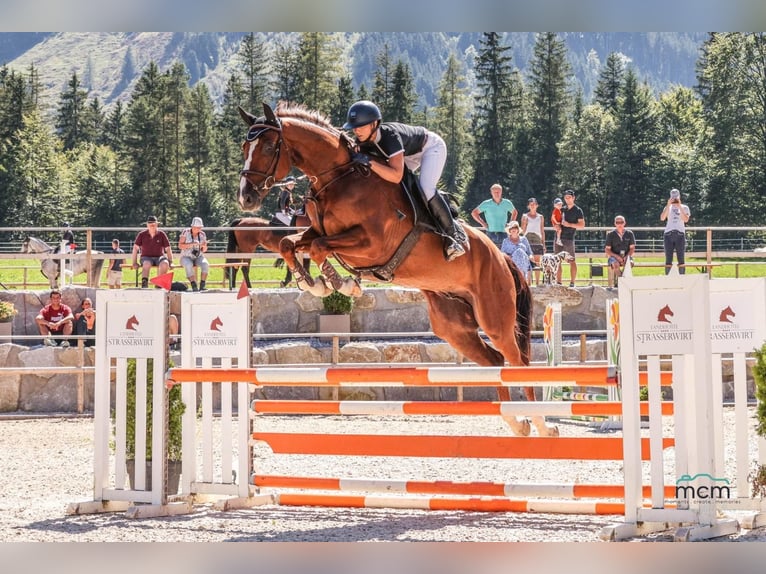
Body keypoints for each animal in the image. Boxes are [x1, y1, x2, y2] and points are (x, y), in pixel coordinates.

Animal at [240, 103, 560, 436]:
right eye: (243, 148)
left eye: (268, 146)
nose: (246, 198)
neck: (339, 178)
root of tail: (502, 258)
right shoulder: (317, 232)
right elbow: (291, 244)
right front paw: (315, 283)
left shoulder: (372, 244)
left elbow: (318, 248)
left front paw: (341, 283)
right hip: (453, 326)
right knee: (495, 360)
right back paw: (518, 422)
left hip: (494, 316)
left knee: (517, 361)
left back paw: (541, 424)